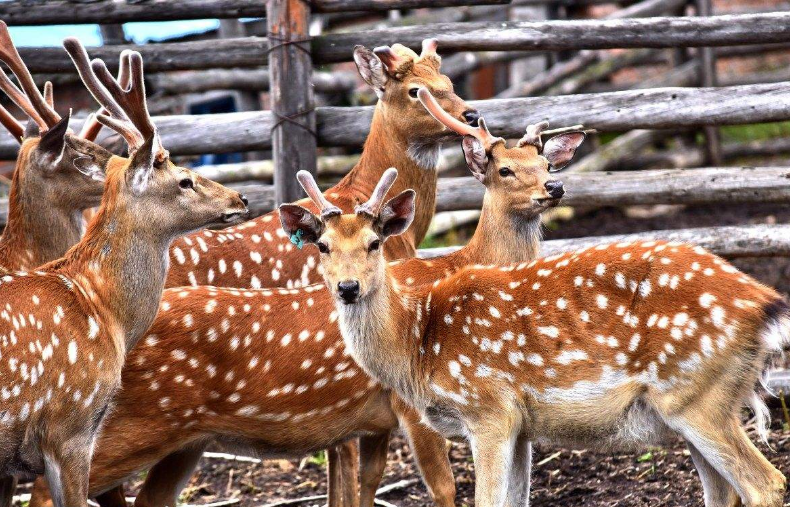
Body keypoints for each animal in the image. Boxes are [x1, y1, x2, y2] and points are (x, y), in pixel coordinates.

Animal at [24, 91, 588, 507]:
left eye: (545, 162)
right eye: (504, 170)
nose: (555, 189)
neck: (457, 265)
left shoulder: (372, 423)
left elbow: (360, 487)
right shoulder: (409, 406)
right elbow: (446, 490)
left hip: (182, 441)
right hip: (108, 425)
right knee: (48, 491)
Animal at [284, 170, 790, 507]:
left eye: (374, 243)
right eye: (323, 246)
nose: (348, 287)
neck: (417, 346)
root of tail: (766, 303)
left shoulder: (488, 409)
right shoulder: (522, 425)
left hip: (697, 395)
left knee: (766, 484)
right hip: (698, 404)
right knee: (724, 491)